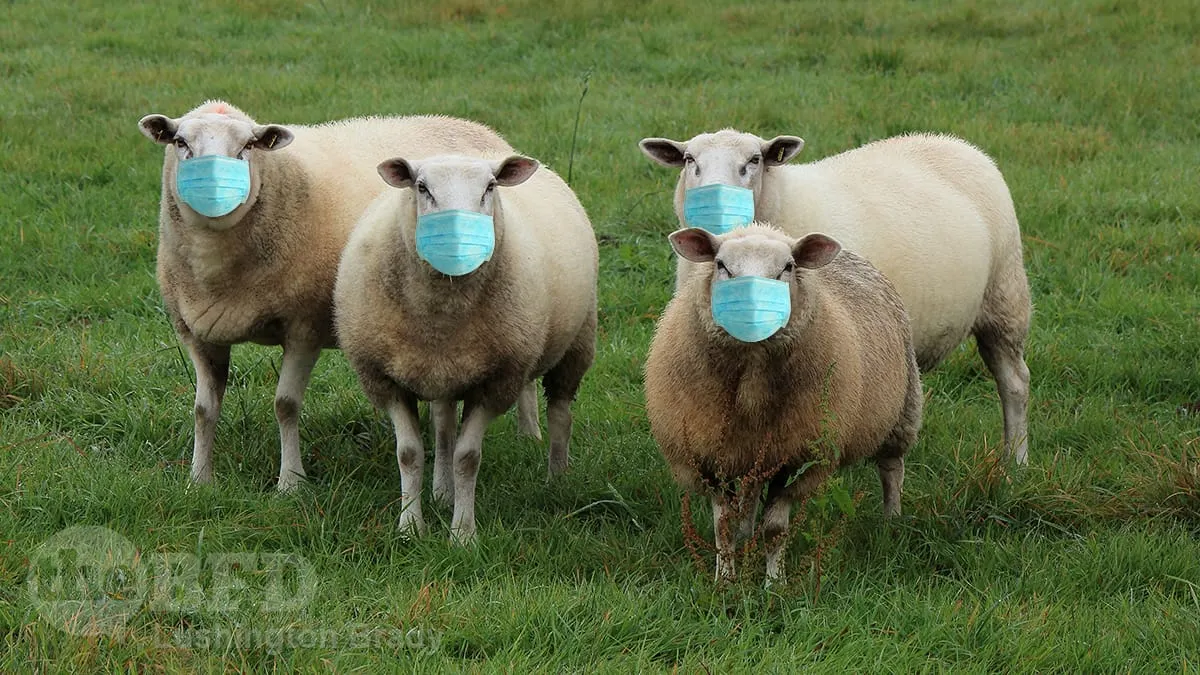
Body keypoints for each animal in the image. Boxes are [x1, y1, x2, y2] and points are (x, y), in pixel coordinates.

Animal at [138, 100, 538, 492]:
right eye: (180, 143)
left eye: (247, 147)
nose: (215, 187)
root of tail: (478, 129)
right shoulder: (198, 332)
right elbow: (203, 410)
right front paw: (199, 480)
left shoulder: (304, 327)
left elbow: (285, 405)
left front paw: (291, 482)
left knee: (527, 374)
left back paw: (529, 436)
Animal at [334, 153, 598, 542]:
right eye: (422, 187)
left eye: (490, 187)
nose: (458, 239)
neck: (441, 318)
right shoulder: (383, 378)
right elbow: (409, 453)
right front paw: (410, 527)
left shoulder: (497, 382)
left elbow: (468, 457)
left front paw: (462, 534)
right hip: (443, 370)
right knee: (444, 427)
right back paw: (442, 491)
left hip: (578, 342)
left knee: (561, 413)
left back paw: (557, 479)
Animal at [639, 130, 1031, 465]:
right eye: (689, 159)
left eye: (754, 160)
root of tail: (955, 142)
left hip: (1005, 298)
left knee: (1014, 383)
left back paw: (1015, 462)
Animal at [643, 224, 922, 584]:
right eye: (721, 265)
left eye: (788, 267)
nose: (751, 307)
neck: (751, 387)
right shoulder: (709, 457)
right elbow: (723, 525)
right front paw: (725, 580)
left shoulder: (797, 458)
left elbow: (775, 530)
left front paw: (774, 583)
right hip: (754, 449)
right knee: (750, 494)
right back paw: (746, 532)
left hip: (902, 411)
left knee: (892, 470)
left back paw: (892, 522)